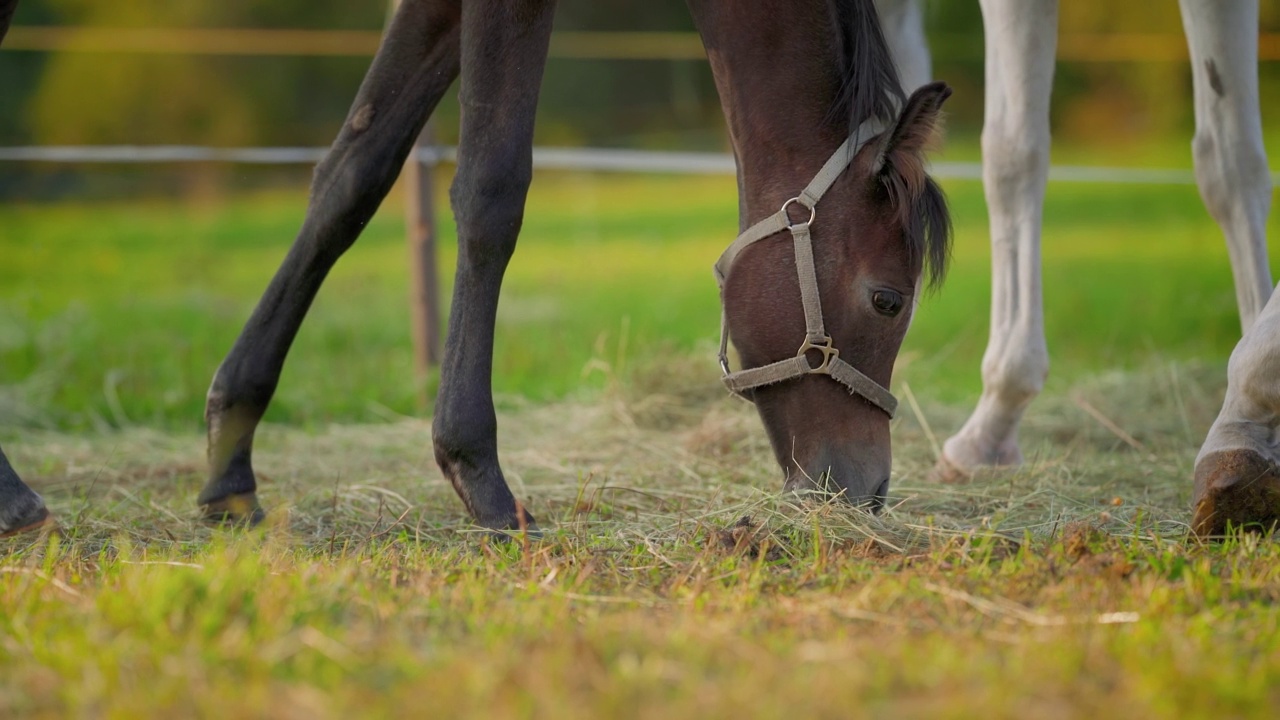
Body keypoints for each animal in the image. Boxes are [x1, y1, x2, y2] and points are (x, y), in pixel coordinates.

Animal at [199, 0, 957, 527]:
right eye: (887, 300)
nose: (868, 490)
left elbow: (352, 173)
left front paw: (229, 459)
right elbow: (491, 187)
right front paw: (479, 476)